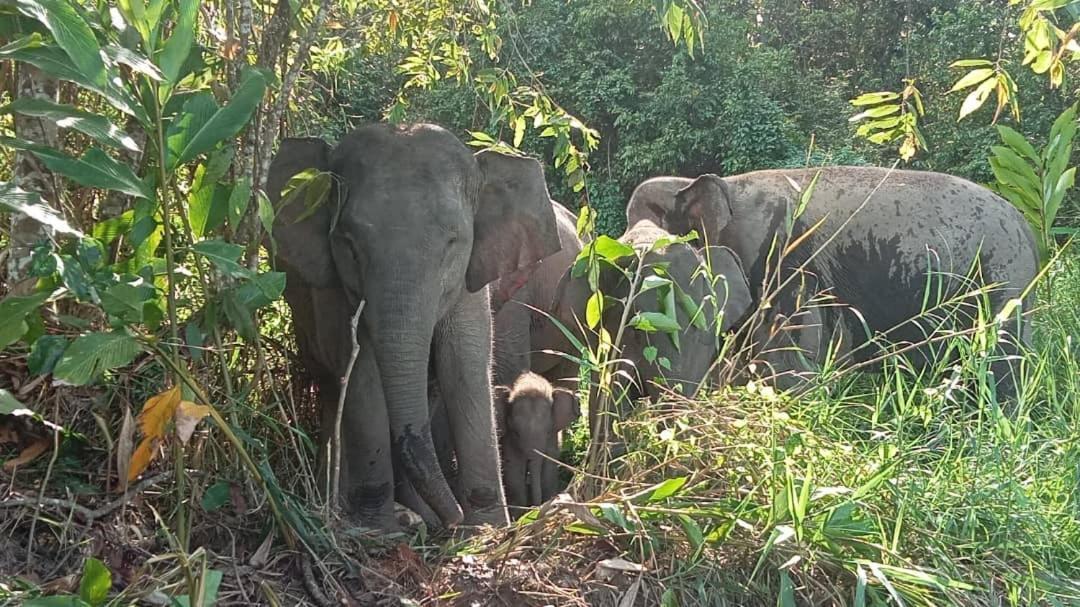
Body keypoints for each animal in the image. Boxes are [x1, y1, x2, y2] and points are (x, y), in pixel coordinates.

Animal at [266, 124, 561, 529]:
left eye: (453, 243)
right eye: (348, 244)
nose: (452, 518)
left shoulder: (469, 287)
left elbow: (465, 369)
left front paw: (486, 527)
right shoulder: (336, 296)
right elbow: (362, 376)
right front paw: (378, 529)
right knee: (332, 389)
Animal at [498, 371, 583, 511]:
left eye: (548, 433)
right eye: (516, 433)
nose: (535, 508)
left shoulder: (553, 439)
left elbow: (549, 467)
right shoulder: (508, 440)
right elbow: (514, 467)